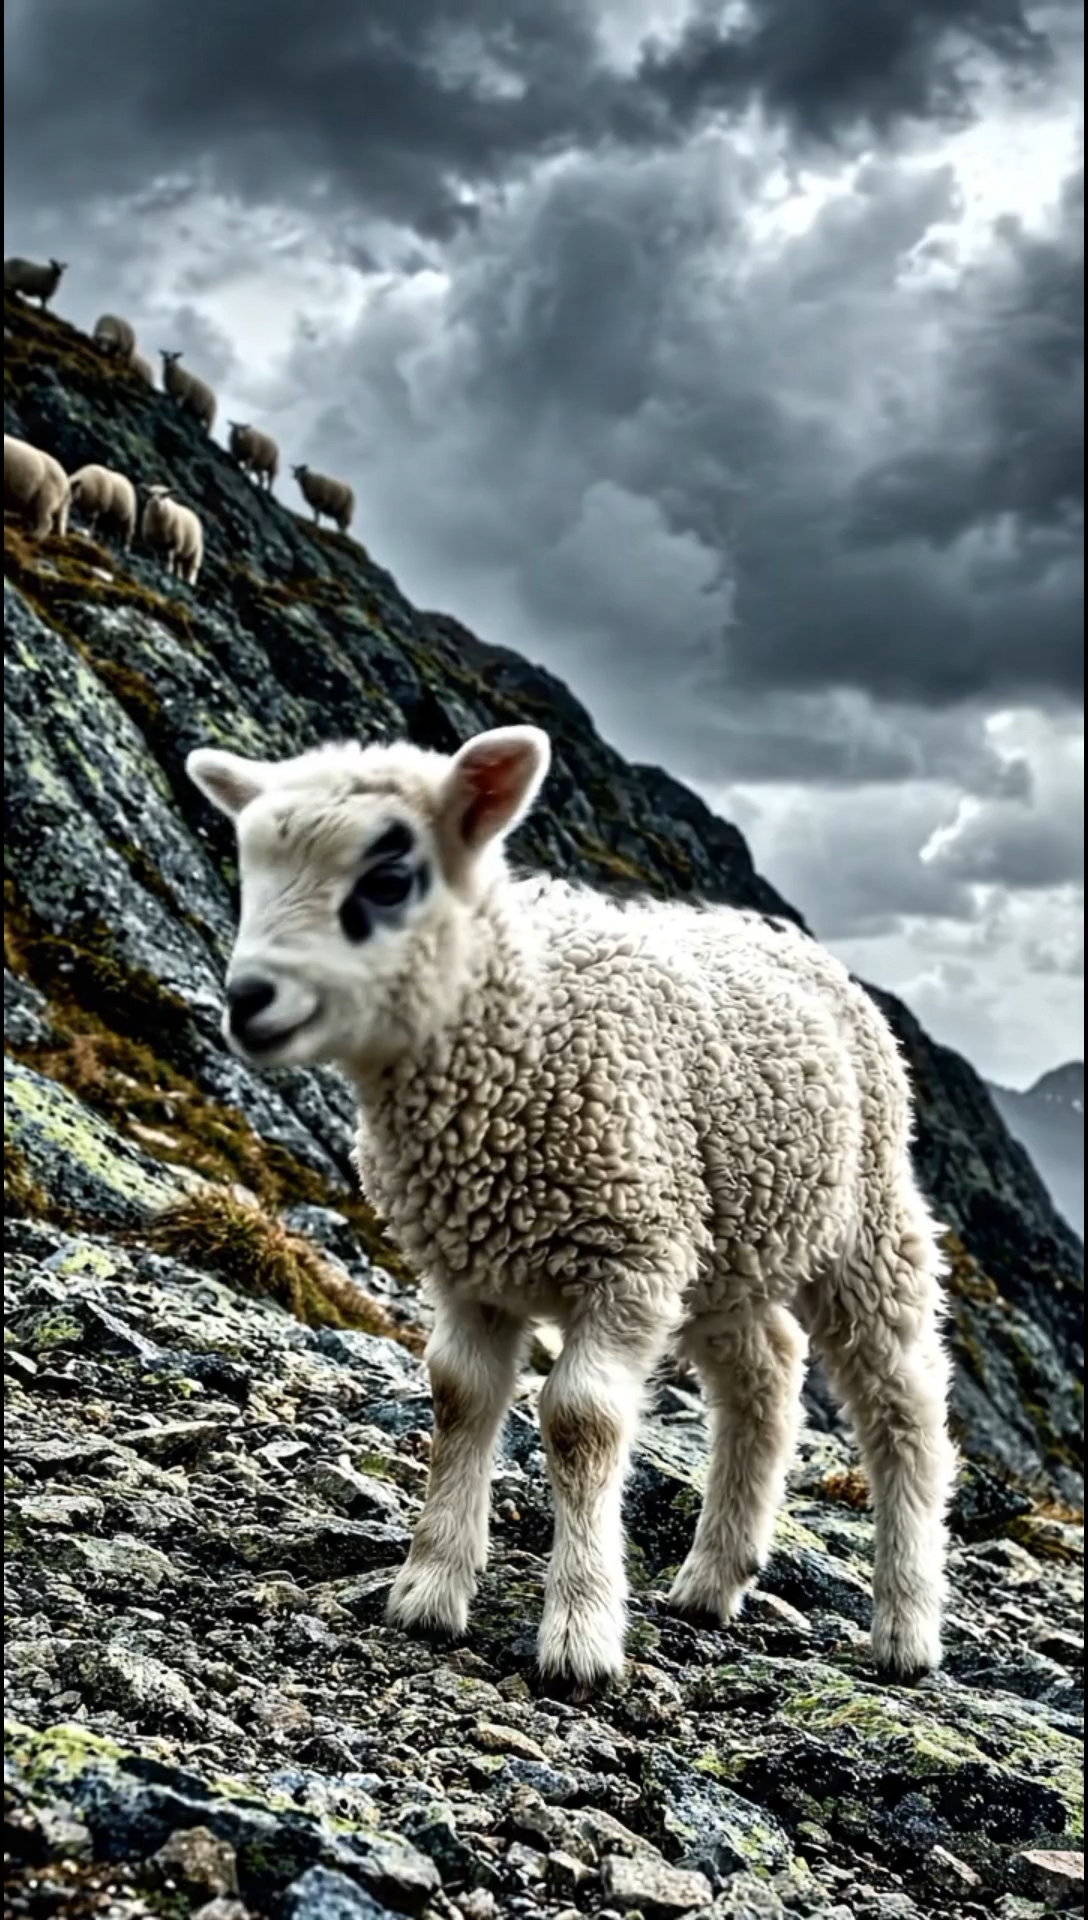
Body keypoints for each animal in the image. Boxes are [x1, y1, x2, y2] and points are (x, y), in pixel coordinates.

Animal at [185, 725, 958, 1696]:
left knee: (903, 1402)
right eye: (250, 867)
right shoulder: (471, 1269)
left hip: (864, 1219)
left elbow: (580, 1422)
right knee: (767, 1377)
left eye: (389, 878)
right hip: (723, 1241)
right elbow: (459, 1398)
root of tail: (783, 937)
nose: (248, 1002)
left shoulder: (626, 1261)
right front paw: (430, 1589)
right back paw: (711, 1580)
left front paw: (582, 1630)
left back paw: (906, 1626)